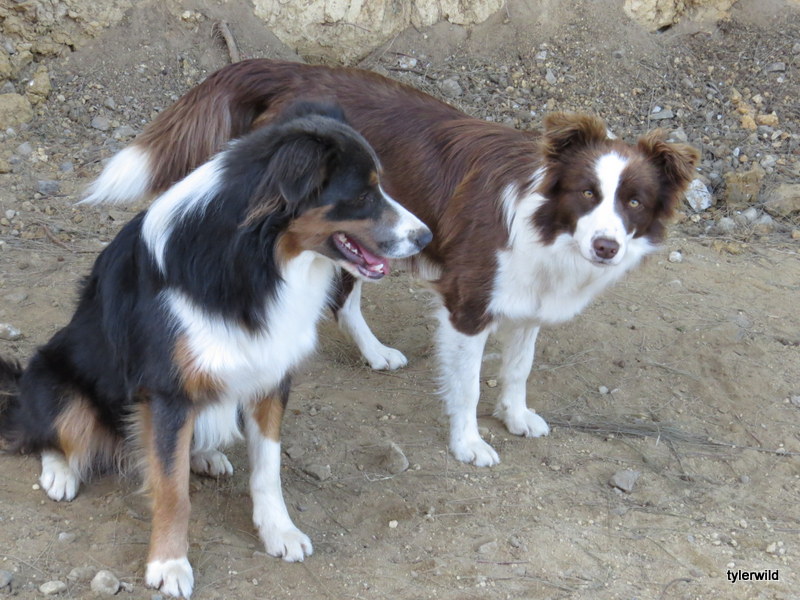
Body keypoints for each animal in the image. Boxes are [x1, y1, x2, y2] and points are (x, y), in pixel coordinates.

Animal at [0, 101, 431, 598]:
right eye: (363, 194)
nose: (425, 238)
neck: (257, 259)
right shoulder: (167, 392)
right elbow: (172, 491)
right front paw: (168, 563)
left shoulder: (270, 373)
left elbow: (268, 469)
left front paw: (278, 531)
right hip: (56, 377)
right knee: (43, 429)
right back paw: (61, 471)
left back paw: (203, 454)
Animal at [81, 59, 699, 467]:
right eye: (587, 194)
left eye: (634, 202)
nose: (606, 247)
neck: (549, 228)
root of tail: (287, 68)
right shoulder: (467, 304)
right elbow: (467, 386)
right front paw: (469, 442)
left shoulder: (530, 301)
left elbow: (519, 367)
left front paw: (516, 415)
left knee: (343, 299)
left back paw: (375, 352)